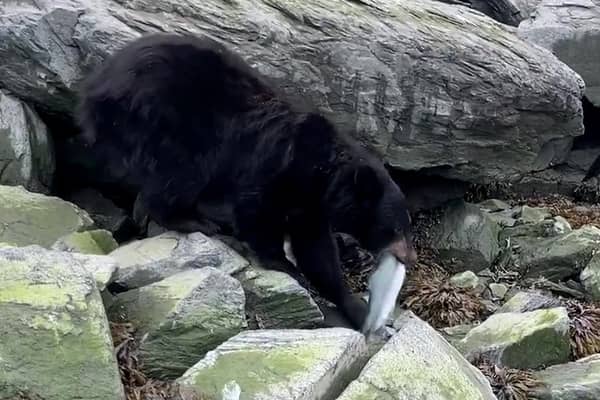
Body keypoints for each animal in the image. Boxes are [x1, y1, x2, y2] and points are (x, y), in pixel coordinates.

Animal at [75, 32, 418, 330]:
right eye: (396, 228)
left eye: (406, 226)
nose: (411, 258)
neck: (322, 174)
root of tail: (95, 87)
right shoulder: (277, 167)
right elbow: (257, 210)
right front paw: (283, 263)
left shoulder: (312, 207)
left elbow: (318, 252)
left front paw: (355, 307)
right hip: (170, 122)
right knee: (182, 172)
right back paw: (193, 220)